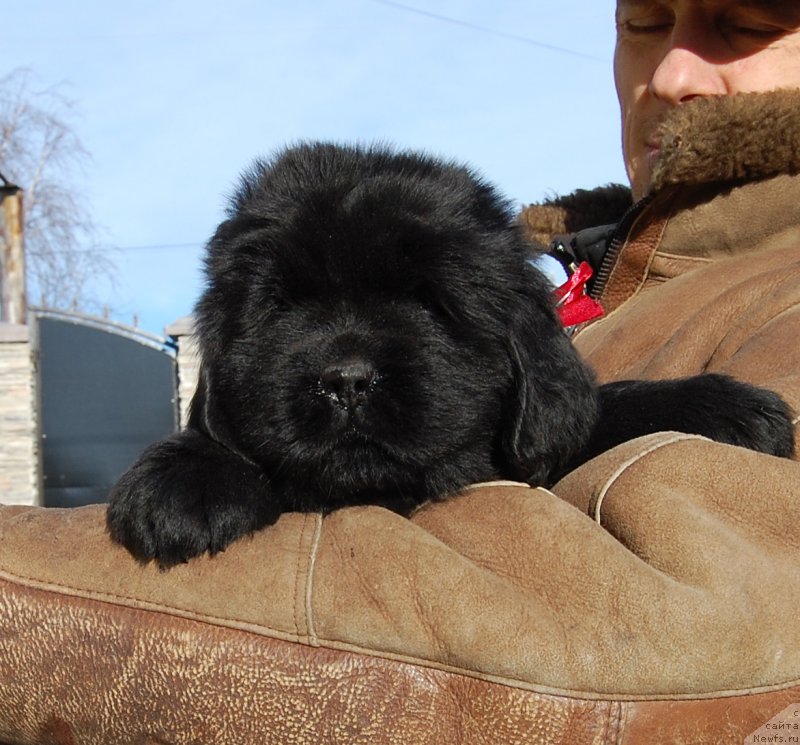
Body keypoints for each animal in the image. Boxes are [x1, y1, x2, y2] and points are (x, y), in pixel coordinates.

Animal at [108, 142, 792, 568]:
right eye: (281, 308)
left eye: (429, 302)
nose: (346, 380)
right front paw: (183, 482)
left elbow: (597, 413)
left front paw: (728, 409)